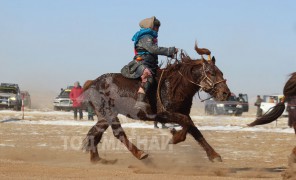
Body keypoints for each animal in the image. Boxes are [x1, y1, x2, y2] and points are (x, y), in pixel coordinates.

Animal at [81, 43, 231, 163]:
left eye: (221, 73)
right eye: (211, 73)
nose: (226, 93)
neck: (174, 86)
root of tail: (93, 83)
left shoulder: (182, 113)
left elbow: (195, 130)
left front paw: (214, 155)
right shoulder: (164, 114)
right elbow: (187, 123)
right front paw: (175, 137)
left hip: (104, 116)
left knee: (95, 132)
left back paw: (96, 159)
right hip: (109, 113)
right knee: (118, 133)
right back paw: (140, 153)